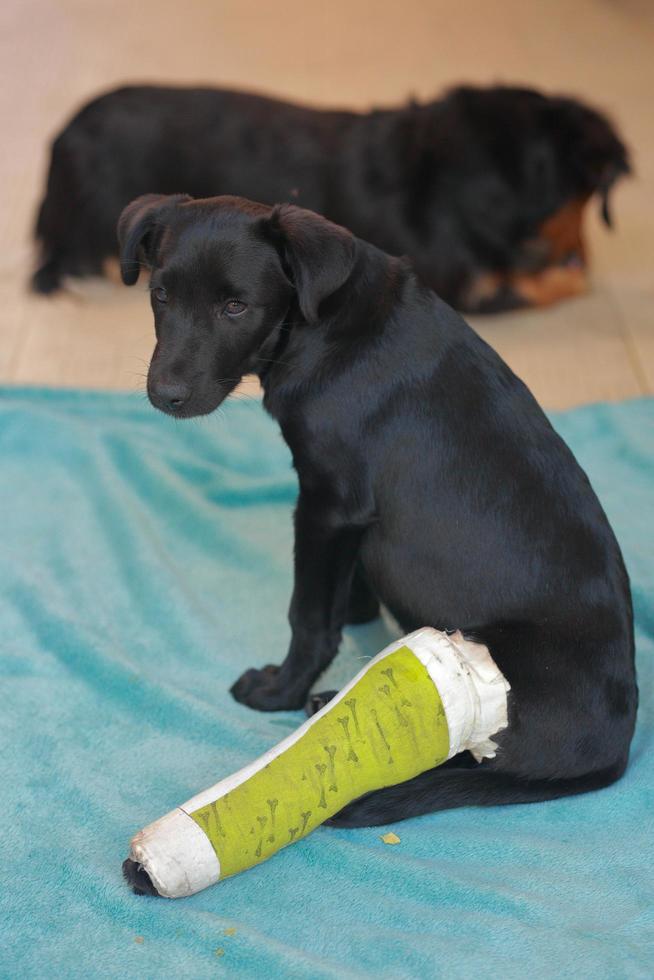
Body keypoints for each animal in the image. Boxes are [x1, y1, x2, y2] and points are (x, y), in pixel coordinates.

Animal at [34, 86, 632, 314]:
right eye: (586, 197)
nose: (580, 251)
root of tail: (62, 139)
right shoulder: (467, 288)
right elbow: (556, 284)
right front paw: (573, 271)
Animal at [119, 193, 640, 828]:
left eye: (236, 306)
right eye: (160, 295)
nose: (165, 395)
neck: (326, 326)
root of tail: (617, 751)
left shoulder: (326, 503)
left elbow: (309, 616)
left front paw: (279, 691)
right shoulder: (349, 517)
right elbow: (346, 586)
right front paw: (355, 613)